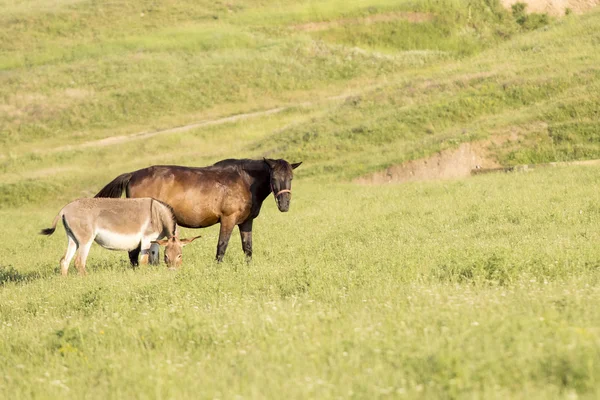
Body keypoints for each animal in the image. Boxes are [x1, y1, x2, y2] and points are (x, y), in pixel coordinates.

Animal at [95, 159, 300, 262]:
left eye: (291, 177)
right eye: (273, 178)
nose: (284, 204)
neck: (243, 180)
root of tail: (133, 175)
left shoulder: (245, 222)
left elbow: (247, 248)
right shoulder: (228, 219)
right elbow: (222, 246)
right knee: (134, 252)